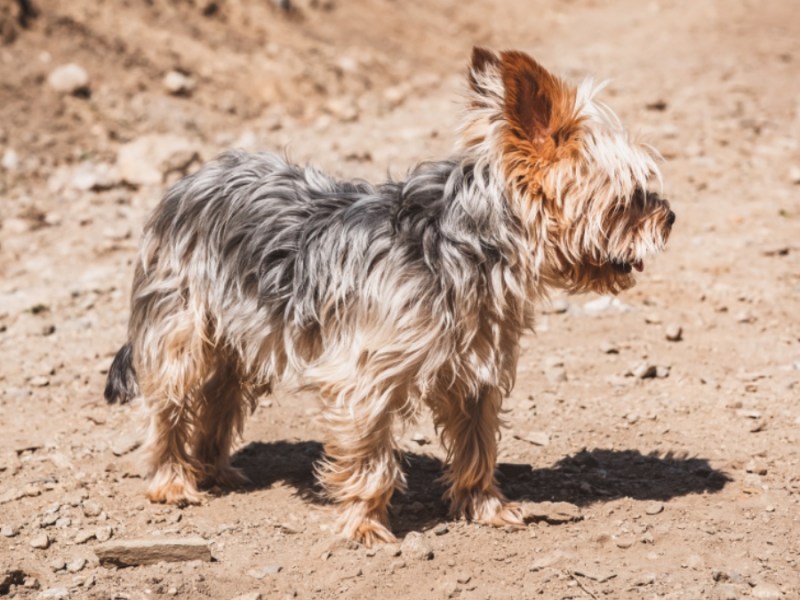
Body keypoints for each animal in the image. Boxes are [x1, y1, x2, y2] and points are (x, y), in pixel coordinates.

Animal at [103, 47, 672, 544]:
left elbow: (478, 447)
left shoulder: (476, 373)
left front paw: (486, 508)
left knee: (220, 397)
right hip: (182, 327)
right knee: (170, 404)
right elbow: (371, 462)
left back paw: (215, 468)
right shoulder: (365, 377)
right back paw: (173, 481)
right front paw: (363, 527)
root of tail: (186, 183)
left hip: (238, 334)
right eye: (635, 197)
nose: (670, 217)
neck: (466, 248)